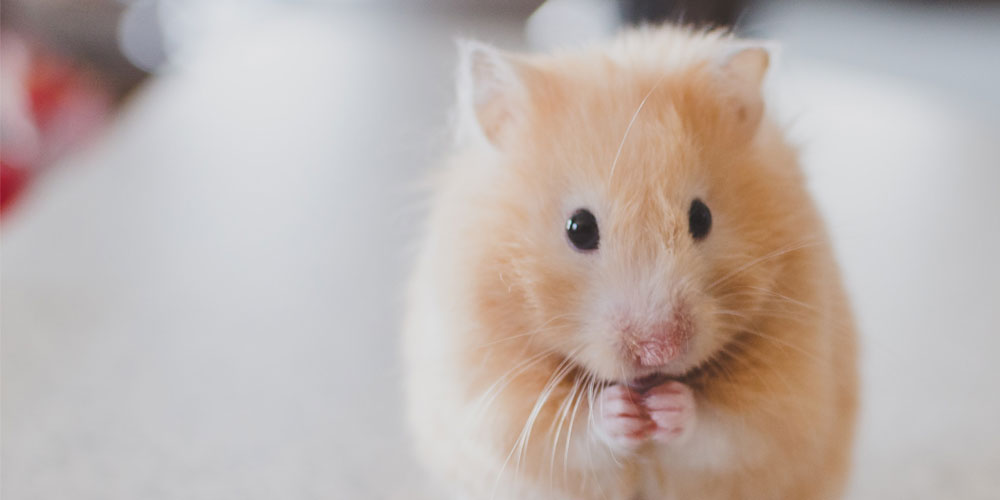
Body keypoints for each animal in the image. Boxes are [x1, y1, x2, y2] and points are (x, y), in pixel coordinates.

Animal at [402, 25, 857, 500]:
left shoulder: (787, 396)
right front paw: (620, 410)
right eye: (579, 228)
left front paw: (668, 405)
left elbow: (724, 430)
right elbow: (568, 433)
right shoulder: (492, 395)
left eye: (702, 217)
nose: (660, 350)